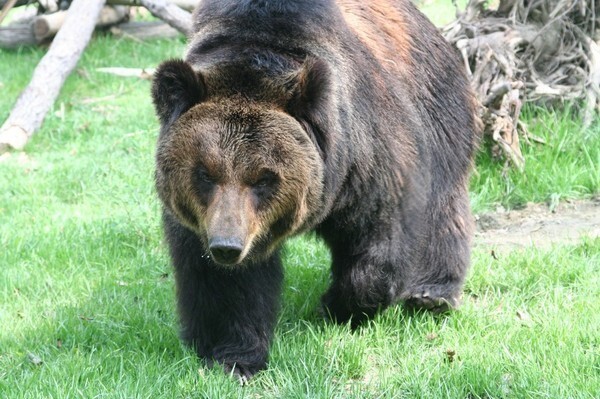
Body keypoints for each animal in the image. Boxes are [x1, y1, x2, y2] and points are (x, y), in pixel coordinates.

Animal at [152, 0, 480, 382]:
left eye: (264, 178)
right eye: (205, 172)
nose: (227, 246)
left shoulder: (365, 158)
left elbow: (380, 239)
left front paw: (337, 306)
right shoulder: (201, 219)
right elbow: (223, 283)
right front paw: (232, 356)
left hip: (439, 112)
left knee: (443, 208)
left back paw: (432, 295)